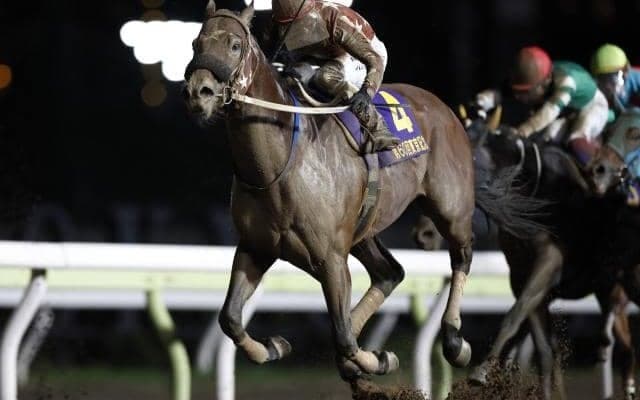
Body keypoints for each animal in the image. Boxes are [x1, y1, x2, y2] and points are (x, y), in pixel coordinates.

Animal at [182, 1, 544, 387]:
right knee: (390, 273)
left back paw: (454, 340)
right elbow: (230, 319)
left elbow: (342, 336)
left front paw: (381, 358)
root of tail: (443, 108)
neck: (280, 164)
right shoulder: (256, 248)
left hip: (451, 207)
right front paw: (274, 347)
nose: (198, 92)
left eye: (235, 45)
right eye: (195, 43)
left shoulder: (330, 258)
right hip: (363, 229)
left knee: (461, 256)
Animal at [453, 109, 638, 400]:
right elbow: (543, 350)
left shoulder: (549, 262)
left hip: (618, 287)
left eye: (470, 153)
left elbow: (515, 316)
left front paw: (480, 371)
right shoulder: (523, 277)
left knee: (626, 346)